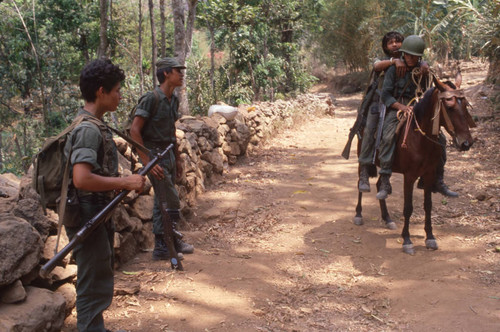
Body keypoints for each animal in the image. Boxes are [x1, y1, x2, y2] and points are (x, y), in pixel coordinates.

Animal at [354, 72, 474, 254]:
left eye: (466, 106)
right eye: (449, 107)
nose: (466, 143)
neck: (419, 138)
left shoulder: (429, 173)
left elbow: (428, 205)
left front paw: (430, 237)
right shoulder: (409, 176)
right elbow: (408, 207)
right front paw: (407, 240)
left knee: (381, 185)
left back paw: (387, 218)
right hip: (362, 158)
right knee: (361, 182)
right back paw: (358, 214)